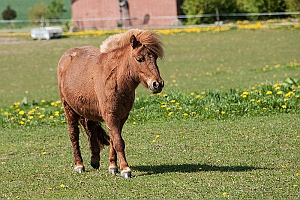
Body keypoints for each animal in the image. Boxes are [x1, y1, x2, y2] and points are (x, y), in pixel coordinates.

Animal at [56, 29, 164, 178]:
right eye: (139, 59)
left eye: (155, 58)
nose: (157, 84)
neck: (116, 78)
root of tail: (66, 56)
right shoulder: (110, 116)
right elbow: (118, 142)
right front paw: (125, 169)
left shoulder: (121, 118)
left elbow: (114, 140)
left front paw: (113, 167)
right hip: (69, 109)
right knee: (74, 135)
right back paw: (79, 165)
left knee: (90, 130)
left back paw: (95, 160)